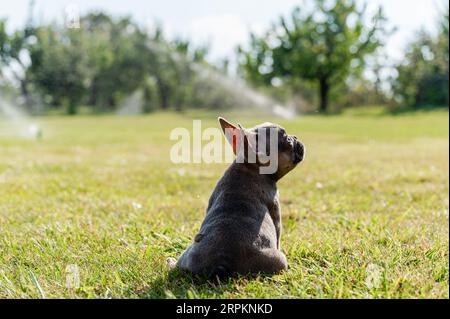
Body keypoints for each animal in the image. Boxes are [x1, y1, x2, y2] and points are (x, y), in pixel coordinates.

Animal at [174, 117, 304, 280]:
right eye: (287, 140)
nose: (296, 137)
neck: (249, 166)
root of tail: (222, 262)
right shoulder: (275, 210)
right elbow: (278, 235)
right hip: (279, 260)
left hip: (188, 254)